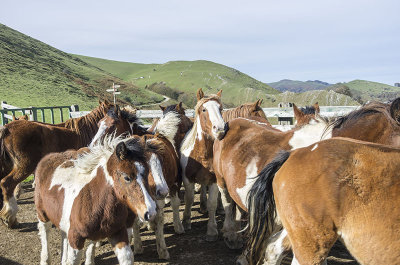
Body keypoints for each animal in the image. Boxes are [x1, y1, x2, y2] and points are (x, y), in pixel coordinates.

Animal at [34, 135, 156, 264]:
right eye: (127, 177)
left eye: (147, 172)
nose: (150, 212)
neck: (95, 200)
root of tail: (47, 158)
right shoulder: (76, 239)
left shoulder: (118, 233)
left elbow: (127, 258)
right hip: (42, 214)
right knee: (45, 231)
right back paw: (45, 259)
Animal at [180, 87, 227, 240]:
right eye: (204, 109)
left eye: (220, 108)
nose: (220, 129)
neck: (203, 155)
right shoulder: (187, 179)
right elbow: (189, 199)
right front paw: (186, 221)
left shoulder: (213, 181)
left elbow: (212, 202)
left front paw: (212, 230)